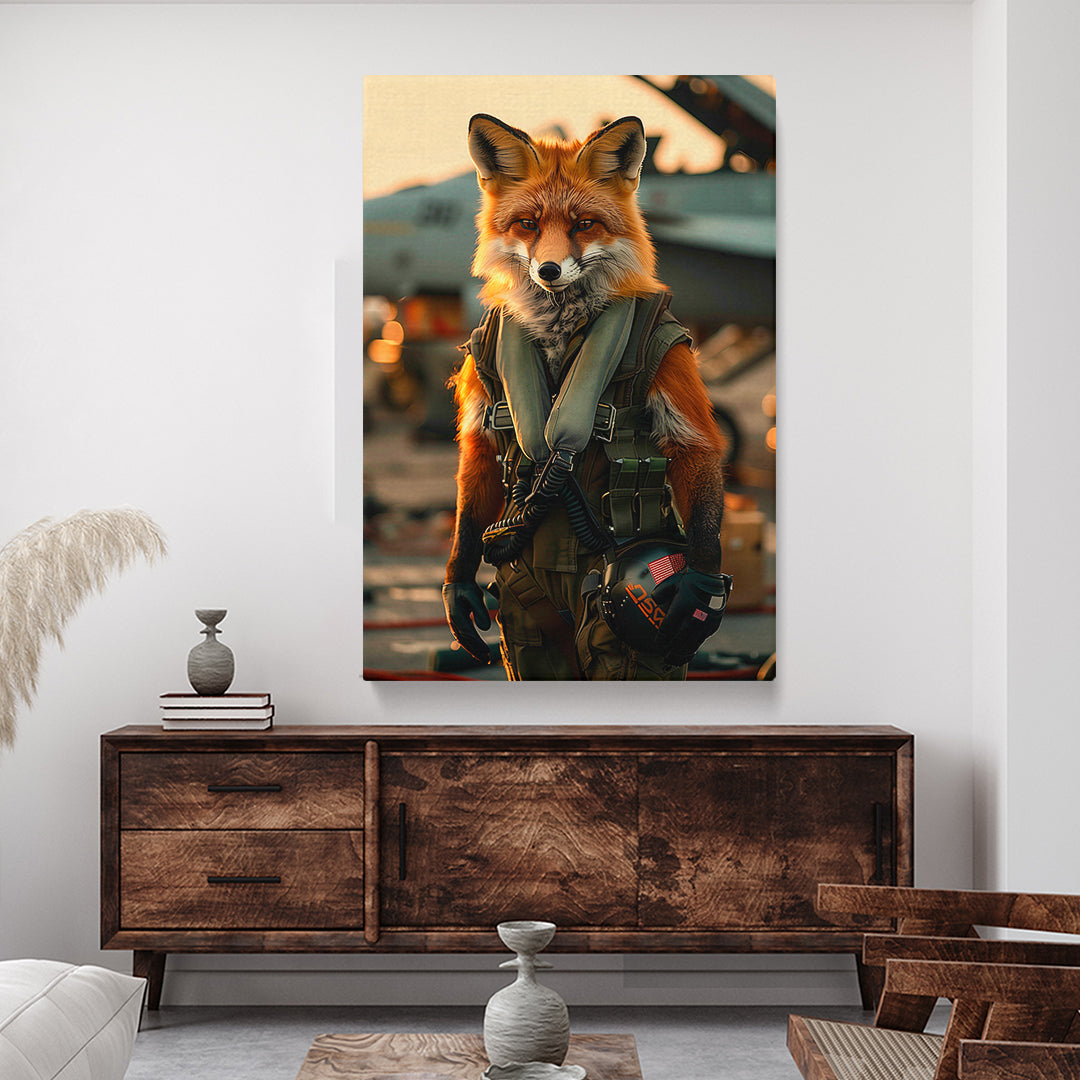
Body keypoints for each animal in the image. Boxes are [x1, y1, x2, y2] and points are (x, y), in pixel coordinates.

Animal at [443, 113, 728, 679]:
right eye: (528, 224)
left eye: (583, 225)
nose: (549, 270)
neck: (560, 330)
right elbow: (479, 459)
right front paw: (460, 588)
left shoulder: (670, 350)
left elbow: (696, 448)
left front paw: (700, 597)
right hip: (528, 632)